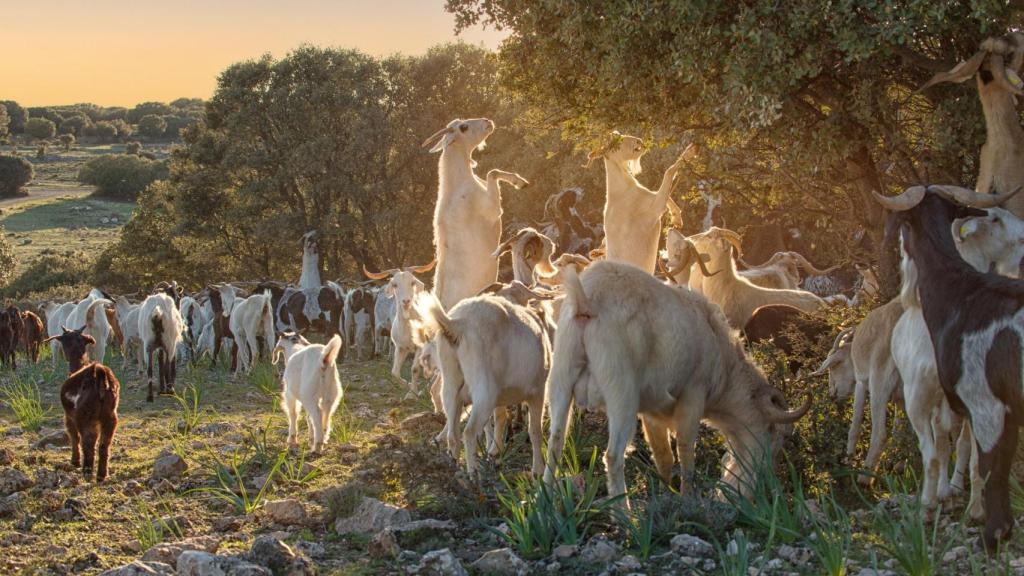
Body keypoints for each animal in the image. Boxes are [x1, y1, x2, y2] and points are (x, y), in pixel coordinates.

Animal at [42, 327, 118, 479]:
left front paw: (75, 461)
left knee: (88, 442)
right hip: (110, 417)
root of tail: (99, 376)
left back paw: (87, 471)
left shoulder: (68, 417)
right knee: (104, 445)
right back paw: (101, 475)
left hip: (85, 417)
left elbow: (73, 437)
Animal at [421, 115, 528, 309]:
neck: (458, 184)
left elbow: (492, 172)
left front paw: (519, 181)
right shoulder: (492, 209)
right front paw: (519, 182)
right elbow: (492, 173)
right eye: (463, 127)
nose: (488, 121)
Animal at [544, 260, 806, 498]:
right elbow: (686, 448)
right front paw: (687, 499)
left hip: (560, 377)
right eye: (777, 433)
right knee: (613, 456)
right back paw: (624, 513)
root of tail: (586, 302)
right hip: (621, 391)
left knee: (555, 442)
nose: (766, 478)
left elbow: (663, 455)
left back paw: (544, 504)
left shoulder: (651, 410)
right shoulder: (694, 393)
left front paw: (666, 494)